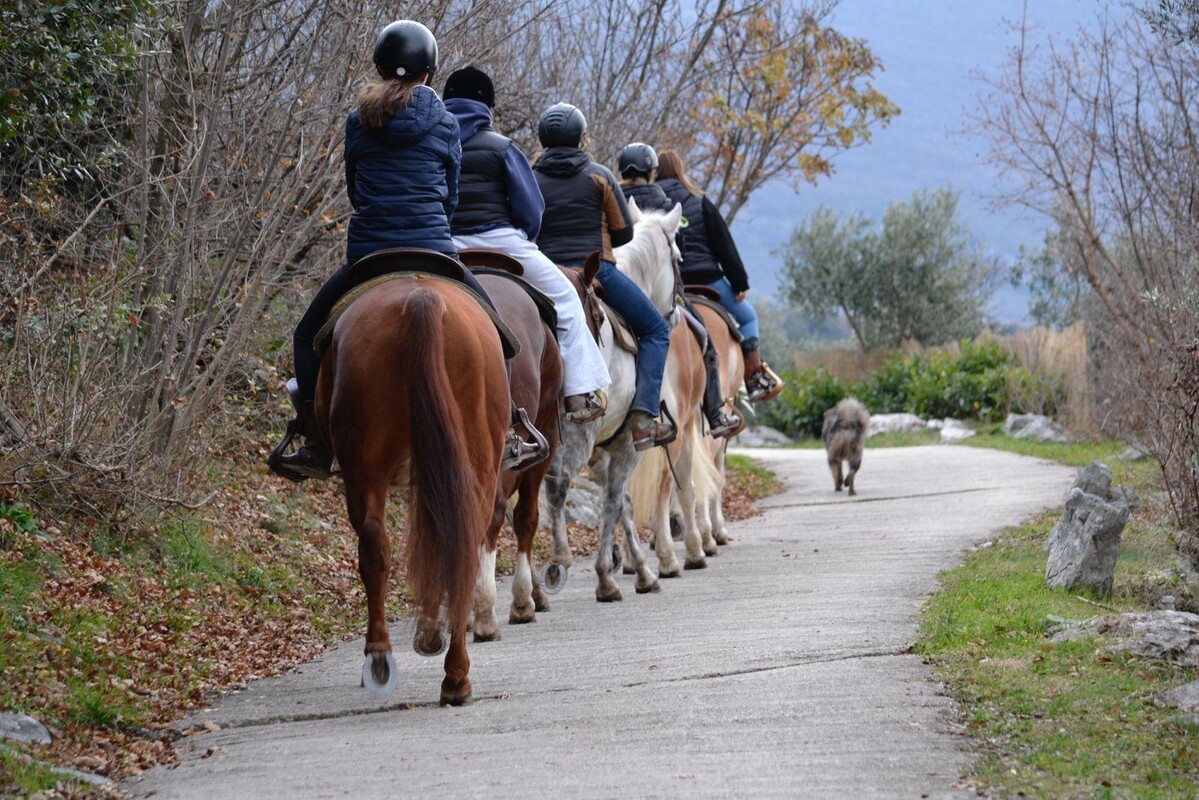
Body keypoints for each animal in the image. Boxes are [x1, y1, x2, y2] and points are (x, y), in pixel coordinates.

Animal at [316, 268, 509, 706]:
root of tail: (423, 301)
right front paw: (430, 632)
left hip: (364, 474)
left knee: (375, 549)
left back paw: (381, 657)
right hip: (473, 467)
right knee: (462, 549)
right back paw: (455, 676)